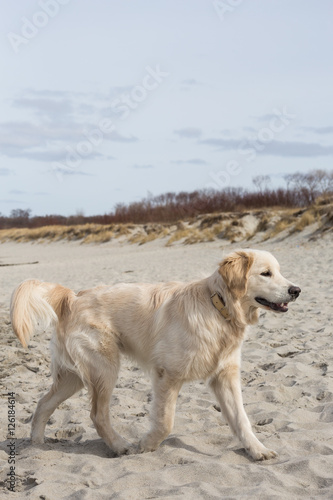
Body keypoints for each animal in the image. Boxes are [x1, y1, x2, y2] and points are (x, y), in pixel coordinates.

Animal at [10, 250, 300, 460]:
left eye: (279, 272)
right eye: (266, 273)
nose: (296, 290)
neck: (218, 308)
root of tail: (72, 297)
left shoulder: (225, 376)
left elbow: (242, 419)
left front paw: (257, 450)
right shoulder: (167, 375)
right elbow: (165, 422)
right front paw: (147, 445)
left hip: (75, 376)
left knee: (43, 404)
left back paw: (37, 446)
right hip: (104, 368)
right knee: (97, 415)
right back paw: (120, 446)